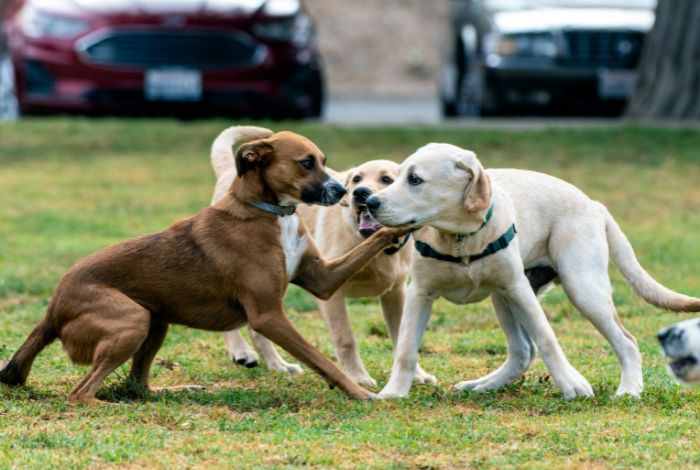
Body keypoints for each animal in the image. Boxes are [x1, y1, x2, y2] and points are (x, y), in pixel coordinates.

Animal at [0, 129, 408, 404]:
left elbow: (371, 243)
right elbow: (321, 358)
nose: (348, 194)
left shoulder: (322, 279)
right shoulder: (268, 315)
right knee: (81, 393)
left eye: (324, 161)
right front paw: (359, 391)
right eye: (306, 163)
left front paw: (398, 226)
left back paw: (176, 390)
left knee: (138, 385)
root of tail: (52, 309)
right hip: (132, 320)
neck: (270, 213)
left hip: (155, 320)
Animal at [366, 141, 700, 398]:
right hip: (504, 298)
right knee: (521, 351)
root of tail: (593, 203)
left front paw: (571, 384)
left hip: (580, 289)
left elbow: (547, 338)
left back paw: (629, 389)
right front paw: (393, 392)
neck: (460, 239)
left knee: (626, 342)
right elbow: (406, 348)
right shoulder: (420, 294)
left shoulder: (519, 290)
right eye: (395, 177)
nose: (370, 202)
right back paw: (482, 385)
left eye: (415, 180)